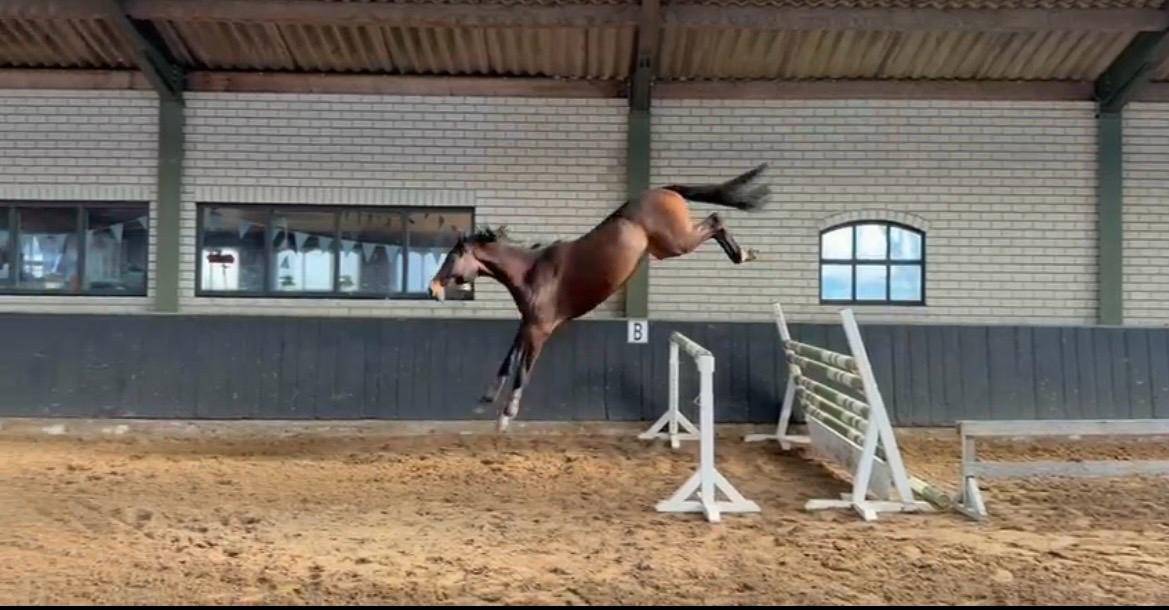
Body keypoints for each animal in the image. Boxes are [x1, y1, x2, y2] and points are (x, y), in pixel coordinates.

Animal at [428, 163, 771, 431]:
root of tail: (663, 190)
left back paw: (743, 255)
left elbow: (523, 368)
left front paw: (505, 416)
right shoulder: (527, 325)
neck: (531, 272)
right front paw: (485, 400)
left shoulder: (540, 329)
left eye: (452, 256)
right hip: (666, 248)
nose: (432, 288)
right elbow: (507, 360)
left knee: (715, 220)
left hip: (678, 242)